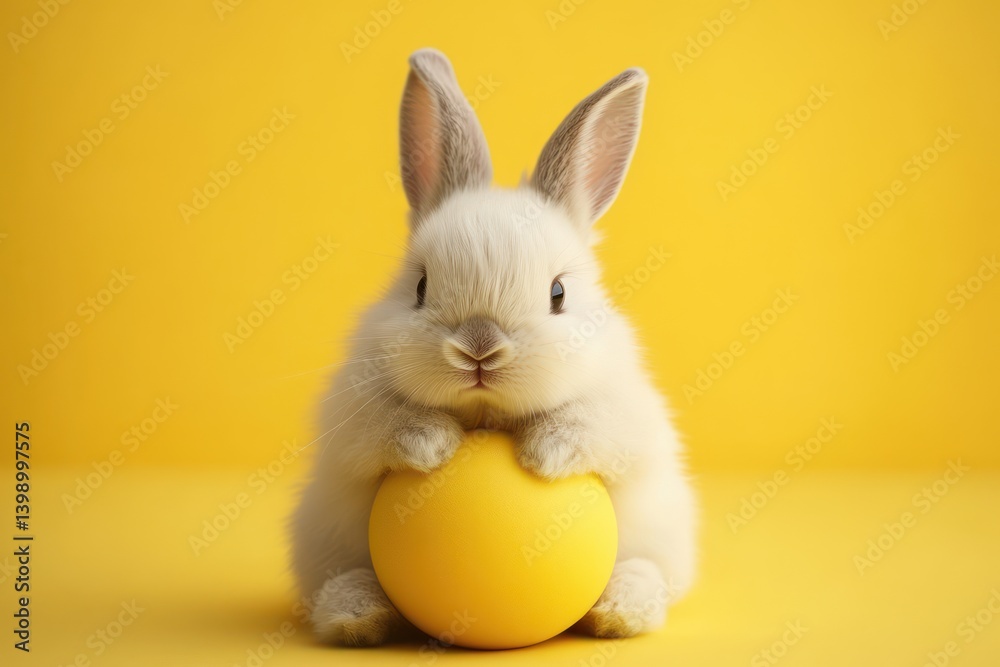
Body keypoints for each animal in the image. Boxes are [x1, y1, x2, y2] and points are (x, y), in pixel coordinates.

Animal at [290, 48, 697, 647]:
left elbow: (588, 424)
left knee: (644, 570)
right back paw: (357, 618)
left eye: (558, 294)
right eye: (420, 287)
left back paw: (621, 612)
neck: (484, 412)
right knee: (344, 579)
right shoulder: (351, 414)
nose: (478, 349)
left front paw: (543, 453)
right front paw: (432, 444)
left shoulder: (624, 414)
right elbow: (386, 425)